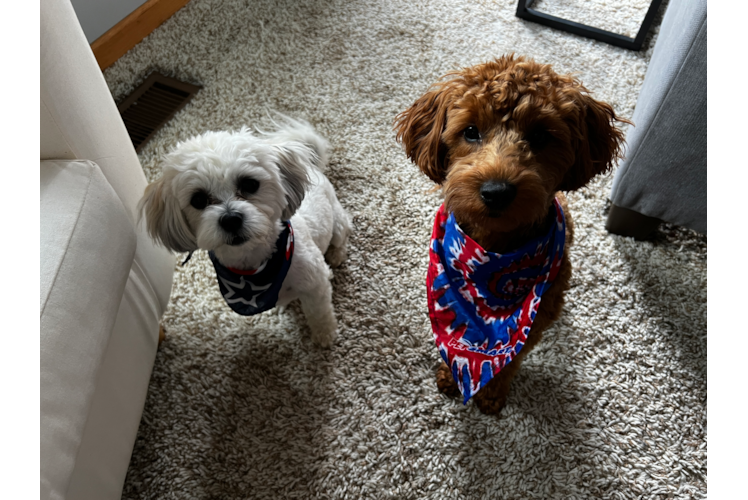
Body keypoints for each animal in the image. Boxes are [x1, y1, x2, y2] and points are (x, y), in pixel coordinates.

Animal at [140, 116, 350, 348]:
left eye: (250, 184)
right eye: (198, 199)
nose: (231, 219)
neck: (256, 264)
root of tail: (309, 165)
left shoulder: (315, 284)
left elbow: (319, 313)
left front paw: (325, 335)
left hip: (337, 221)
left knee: (342, 234)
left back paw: (336, 255)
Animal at [394, 53, 628, 414]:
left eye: (541, 136)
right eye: (471, 131)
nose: (496, 191)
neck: (494, 251)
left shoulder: (537, 317)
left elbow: (513, 359)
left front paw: (492, 393)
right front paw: (450, 375)